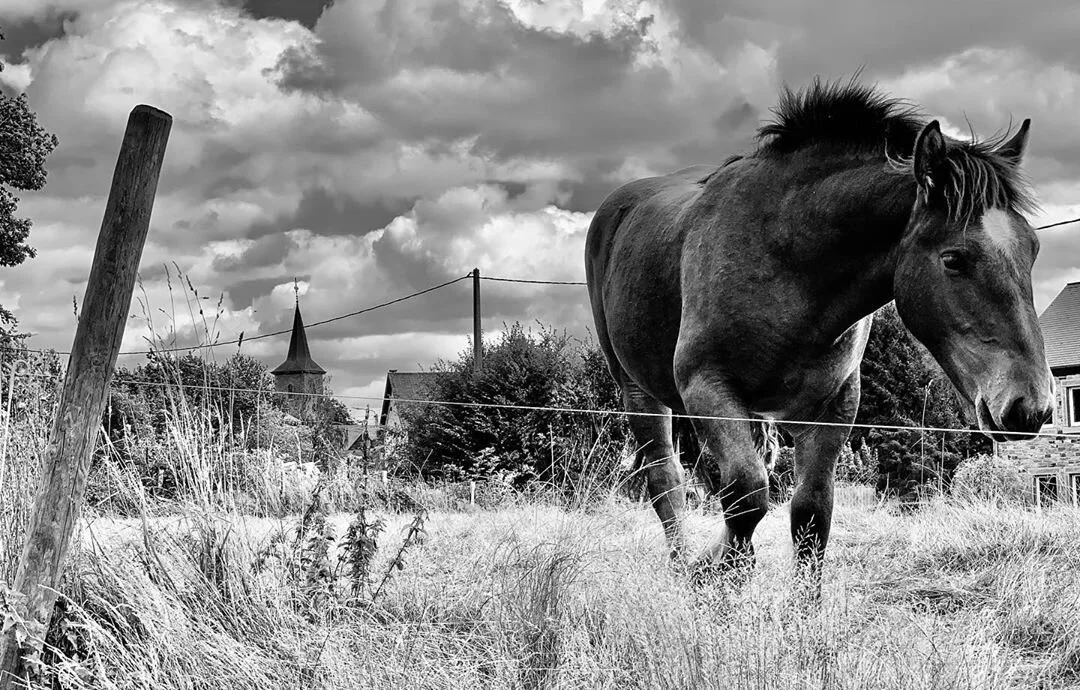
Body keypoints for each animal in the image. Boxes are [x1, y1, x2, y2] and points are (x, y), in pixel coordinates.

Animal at [584, 76, 1053, 585]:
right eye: (953, 259)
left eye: (1032, 249)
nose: (1032, 407)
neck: (788, 259)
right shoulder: (706, 388)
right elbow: (747, 494)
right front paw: (715, 574)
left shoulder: (830, 408)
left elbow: (810, 516)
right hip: (639, 392)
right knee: (667, 483)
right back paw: (682, 566)